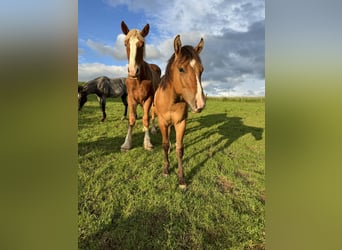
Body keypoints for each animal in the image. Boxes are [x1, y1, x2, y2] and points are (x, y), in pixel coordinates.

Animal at [119, 21, 161, 150]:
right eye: (125, 43)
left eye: (142, 44)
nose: (133, 71)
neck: (138, 80)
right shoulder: (131, 99)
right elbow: (132, 119)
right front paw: (127, 143)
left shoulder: (148, 98)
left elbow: (146, 118)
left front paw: (147, 142)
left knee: (151, 114)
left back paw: (152, 129)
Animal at [154, 34, 206, 188]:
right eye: (181, 69)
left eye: (201, 70)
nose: (200, 103)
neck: (172, 100)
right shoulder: (162, 122)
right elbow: (164, 145)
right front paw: (166, 170)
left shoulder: (181, 123)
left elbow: (180, 149)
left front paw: (181, 178)